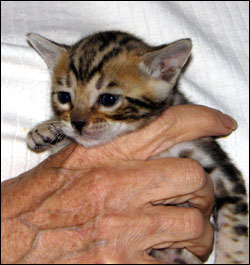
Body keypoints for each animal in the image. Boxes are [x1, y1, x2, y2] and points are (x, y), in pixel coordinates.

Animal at [25, 31, 248, 262]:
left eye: (108, 99)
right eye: (64, 96)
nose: (77, 123)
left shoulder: (219, 167)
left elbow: (236, 225)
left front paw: (233, 258)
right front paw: (47, 130)